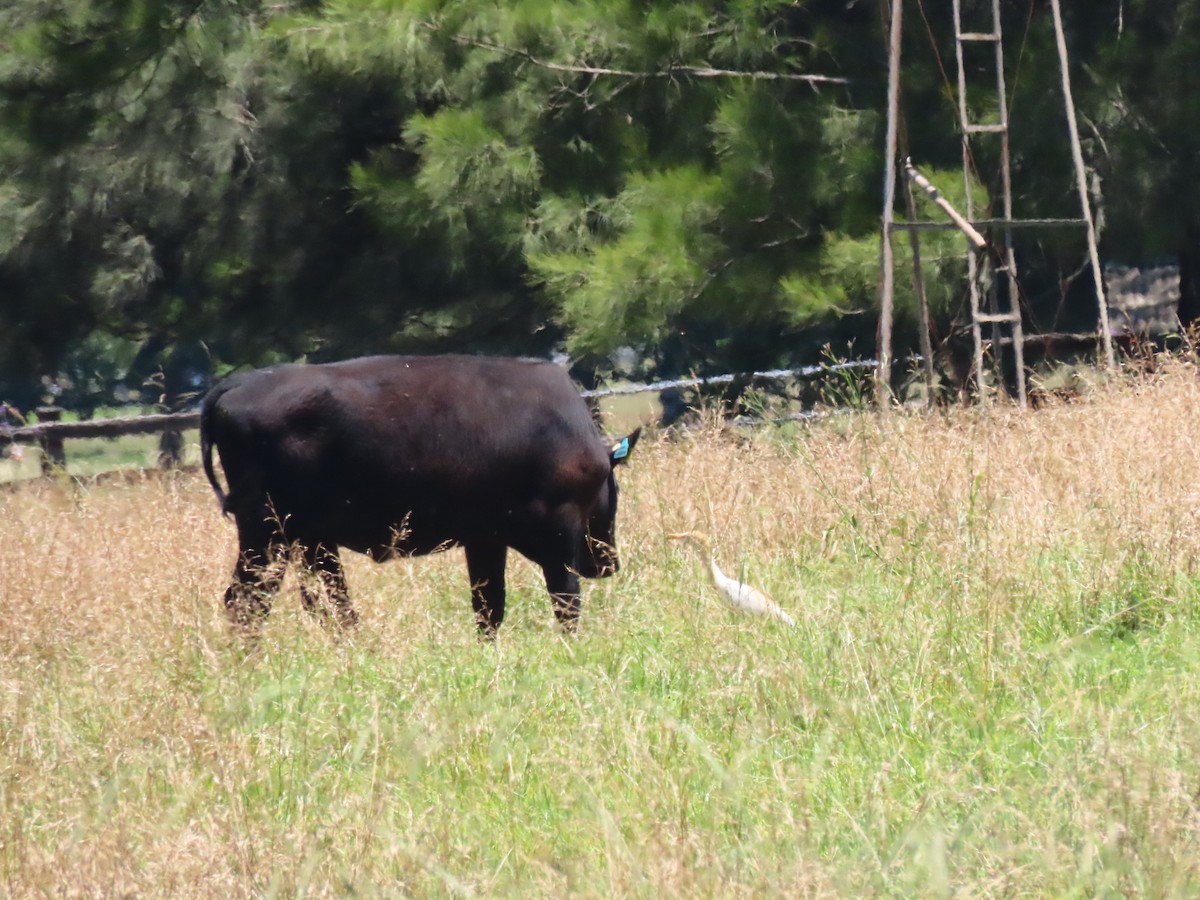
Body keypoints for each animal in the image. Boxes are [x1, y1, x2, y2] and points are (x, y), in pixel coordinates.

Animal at [199, 354, 640, 636]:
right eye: (614, 487)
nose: (609, 563)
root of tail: (234, 385)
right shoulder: (558, 535)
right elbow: (565, 601)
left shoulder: (485, 540)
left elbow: (489, 606)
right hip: (267, 535)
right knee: (247, 601)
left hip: (306, 541)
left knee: (330, 605)